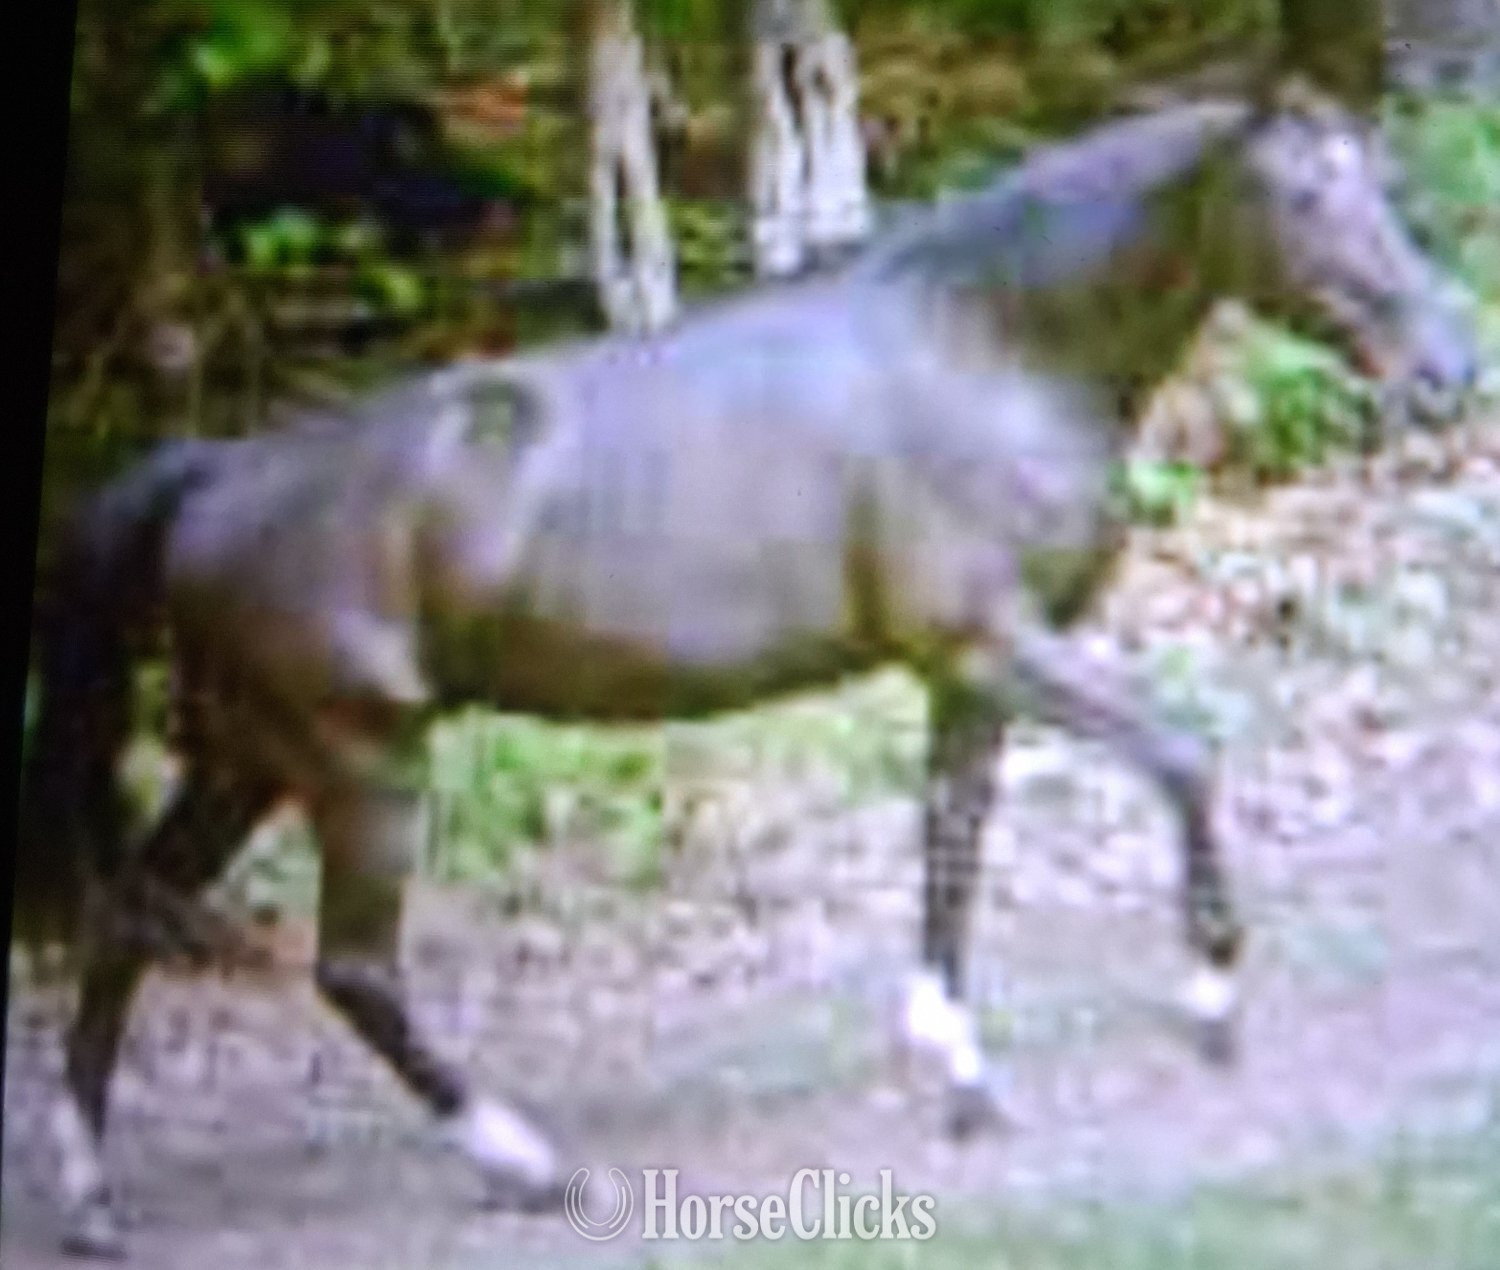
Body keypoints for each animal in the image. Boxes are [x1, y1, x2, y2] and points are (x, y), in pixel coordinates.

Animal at [15, 80, 1478, 1257]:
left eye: (1377, 184)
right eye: (1301, 197)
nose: (1448, 369)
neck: (986, 347)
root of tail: (212, 473)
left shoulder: (967, 676)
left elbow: (952, 845)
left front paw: (958, 1070)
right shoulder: (996, 642)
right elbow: (1182, 756)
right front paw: (1211, 995)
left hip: (248, 757)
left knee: (128, 918)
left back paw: (90, 1195)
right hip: (361, 766)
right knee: (354, 972)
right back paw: (521, 1158)